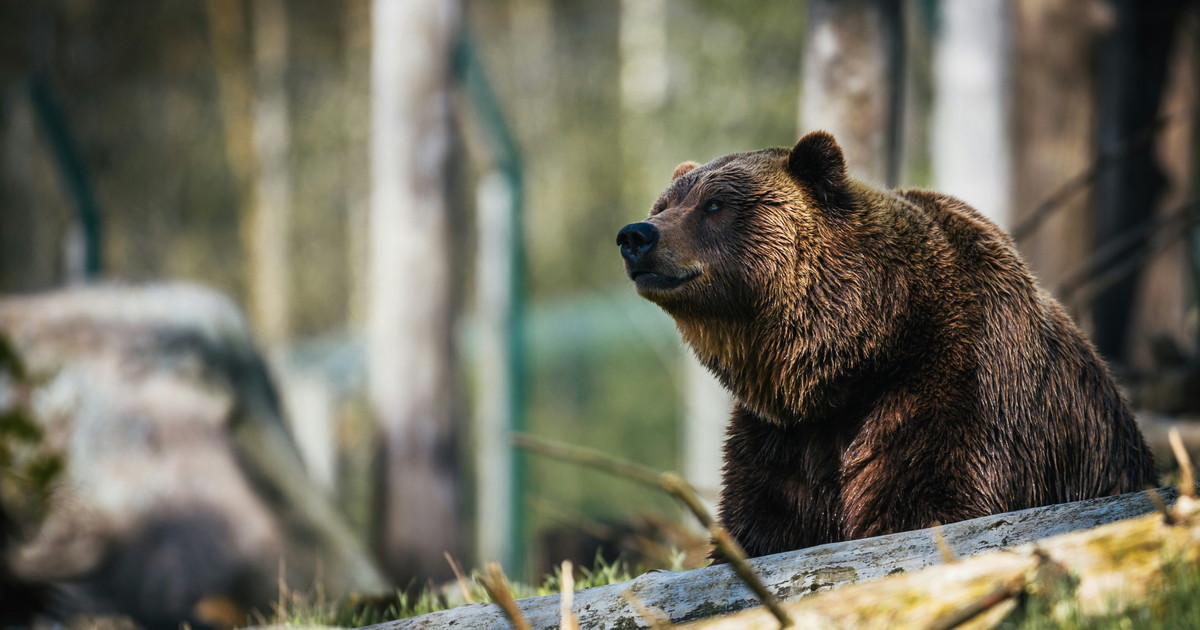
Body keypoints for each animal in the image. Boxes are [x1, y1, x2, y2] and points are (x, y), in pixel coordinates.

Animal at [616, 131, 1158, 559]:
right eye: (664, 205)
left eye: (715, 205)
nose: (636, 235)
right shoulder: (783, 438)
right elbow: (763, 524)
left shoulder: (957, 388)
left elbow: (929, 503)